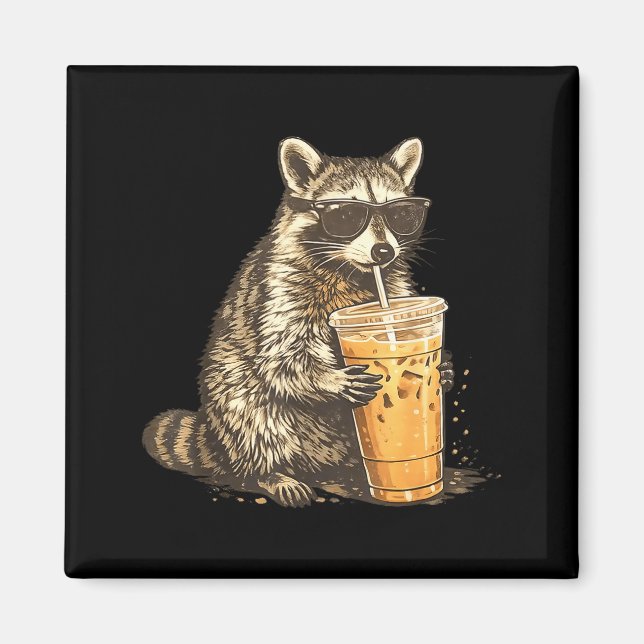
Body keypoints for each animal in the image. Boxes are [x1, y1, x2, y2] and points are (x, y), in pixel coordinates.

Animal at [143, 137, 454, 507]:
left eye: (401, 214)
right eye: (346, 215)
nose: (383, 252)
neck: (351, 271)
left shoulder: (392, 288)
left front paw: (443, 367)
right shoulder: (281, 290)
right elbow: (283, 358)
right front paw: (330, 379)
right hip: (235, 396)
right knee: (252, 410)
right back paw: (270, 473)